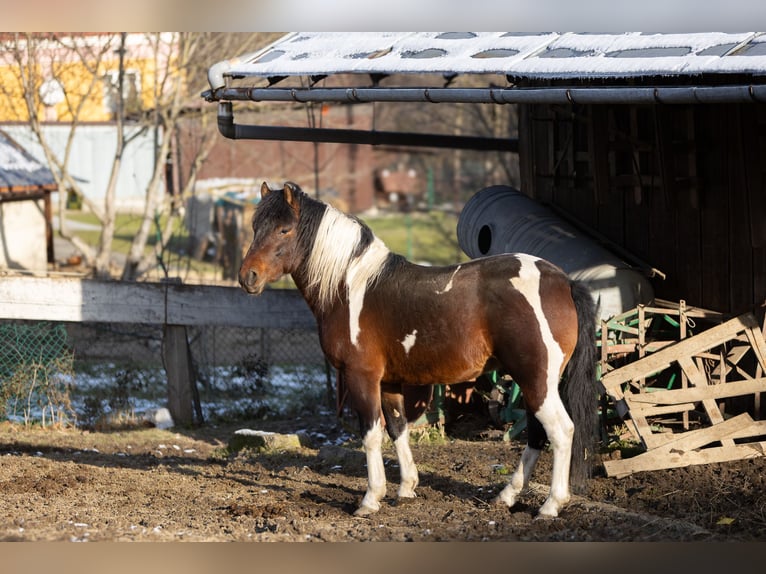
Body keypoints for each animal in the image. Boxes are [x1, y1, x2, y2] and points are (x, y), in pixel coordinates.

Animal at [238, 182, 600, 520]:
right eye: (256, 226)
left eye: (284, 229)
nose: (247, 277)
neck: (350, 288)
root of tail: (563, 281)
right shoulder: (389, 382)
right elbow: (398, 429)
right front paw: (406, 488)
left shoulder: (362, 377)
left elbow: (371, 434)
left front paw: (370, 499)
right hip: (533, 382)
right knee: (537, 433)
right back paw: (507, 496)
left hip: (536, 380)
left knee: (560, 431)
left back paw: (551, 505)